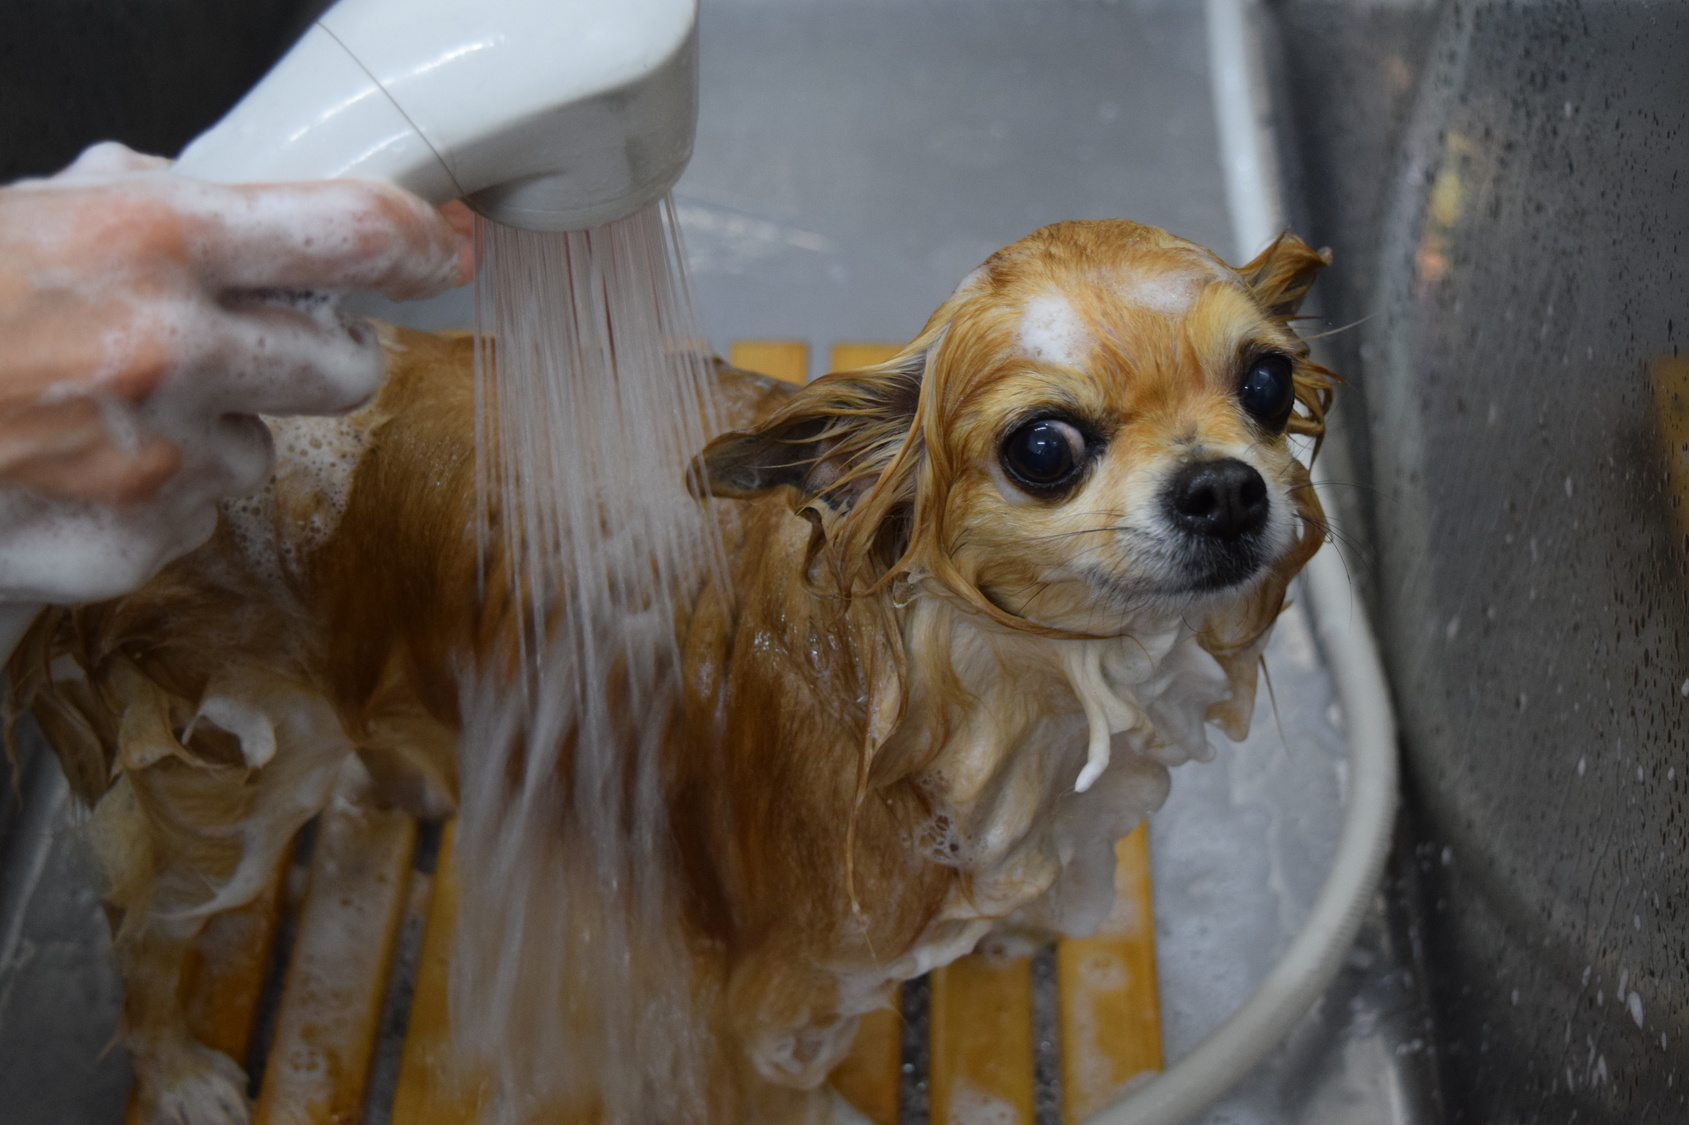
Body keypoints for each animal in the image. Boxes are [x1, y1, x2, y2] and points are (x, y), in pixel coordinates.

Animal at [9, 221, 1330, 1121]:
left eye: (1266, 383)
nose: (1224, 489)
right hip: (227, 794)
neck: (1001, 677)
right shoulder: (776, 1001)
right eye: (1045, 449)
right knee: (145, 930)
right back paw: (178, 1068)